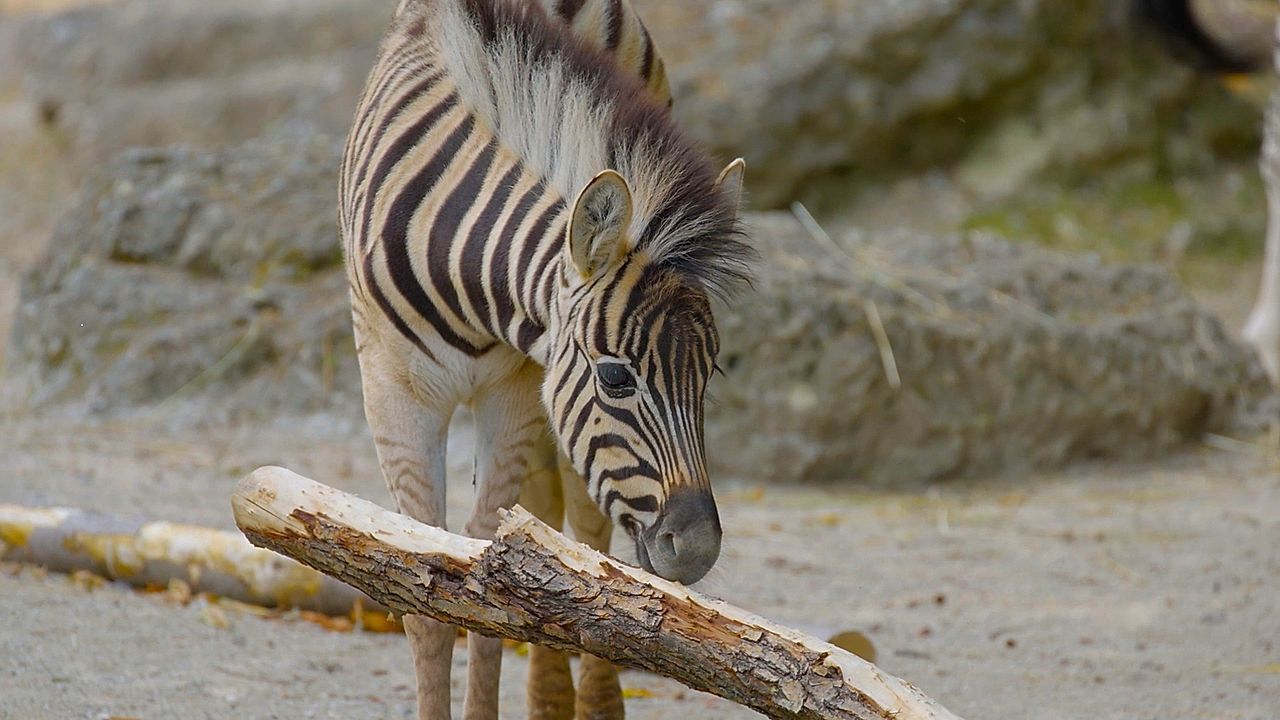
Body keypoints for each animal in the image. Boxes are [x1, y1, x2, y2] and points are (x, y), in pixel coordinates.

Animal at [338, 0, 752, 718]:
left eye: (709, 378)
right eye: (615, 376)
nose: (697, 550)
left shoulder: (515, 388)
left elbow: (489, 568)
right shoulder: (394, 391)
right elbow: (424, 590)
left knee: (586, 530)